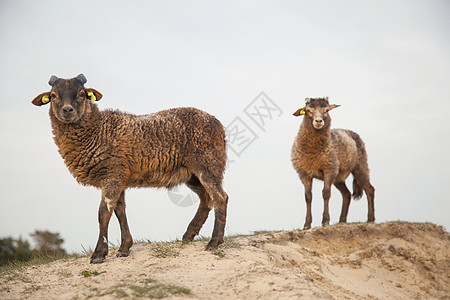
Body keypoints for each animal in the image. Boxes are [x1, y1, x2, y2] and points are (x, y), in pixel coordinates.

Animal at [31, 74, 229, 264]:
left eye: (82, 94)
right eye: (53, 96)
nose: (67, 110)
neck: (96, 129)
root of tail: (217, 124)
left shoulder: (111, 174)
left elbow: (103, 213)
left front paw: (98, 254)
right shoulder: (118, 177)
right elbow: (120, 211)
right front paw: (124, 248)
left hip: (208, 163)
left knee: (220, 198)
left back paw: (214, 242)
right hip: (192, 174)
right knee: (206, 199)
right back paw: (189, 235)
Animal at [290, 97, 374, 229]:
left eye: (327, 110)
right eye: (307, 110)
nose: (318, 121)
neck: (313, 153)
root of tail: (351, 132)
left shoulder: (329, 169)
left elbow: (325, 193)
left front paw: (325, 221)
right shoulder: (304, 173)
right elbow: (308, 196)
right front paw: (307, 225)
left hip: (360, 166)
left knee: (369, 189)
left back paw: (370, 219)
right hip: (338, 177)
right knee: (347, 194)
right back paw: (342, 220)